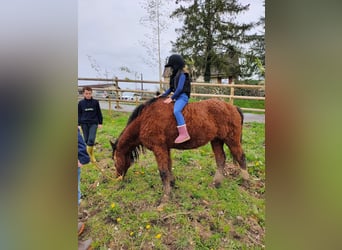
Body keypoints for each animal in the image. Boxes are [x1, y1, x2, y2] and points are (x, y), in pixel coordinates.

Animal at [111, 96, 248, 206]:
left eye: (114, 160)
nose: (117, 177)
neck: (145, 119)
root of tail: (233, 107)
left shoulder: (159, 148)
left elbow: (163, 172)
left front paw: (165, 198)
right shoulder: (165, 148)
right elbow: (168, 167)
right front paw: (171, 184)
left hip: (232, 140)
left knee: (241, 158)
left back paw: (246, 181)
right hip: (217, 141)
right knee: (221, 159)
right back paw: (216, 183)